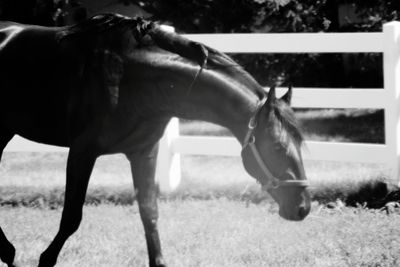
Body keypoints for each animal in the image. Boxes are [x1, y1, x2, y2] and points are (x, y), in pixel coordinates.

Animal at [0, 13, 310, 267]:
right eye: (277, 147)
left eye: (301, 145)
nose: (303, 207)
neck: (131, 76)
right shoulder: (81, 152)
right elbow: (71, 218)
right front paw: (44, 259)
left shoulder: (143, 152)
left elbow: (149, 213)